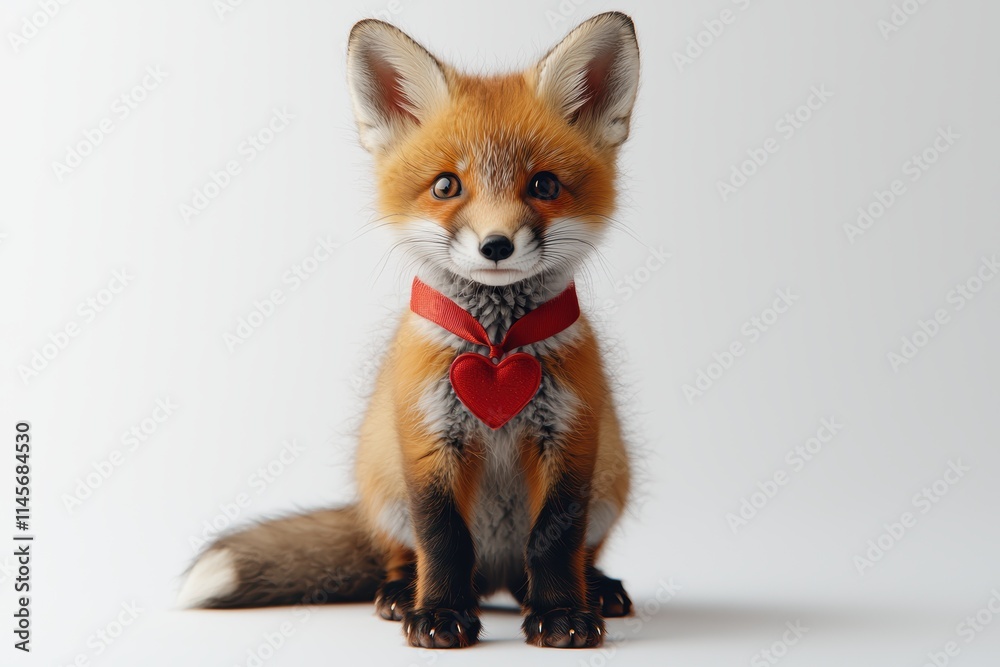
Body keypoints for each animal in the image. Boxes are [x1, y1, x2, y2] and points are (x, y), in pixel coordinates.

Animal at [179, 11, 641, 649]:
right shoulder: (427, 438)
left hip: (610, 484)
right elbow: (442, 540)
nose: (496, 245)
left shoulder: (570, 438)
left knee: (560, 558)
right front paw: (440, 614)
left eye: (544, 186)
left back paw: (593, 588)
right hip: (385, 483)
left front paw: (563, 614)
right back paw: (402, 593)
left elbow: (553, 542)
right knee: (406, 555)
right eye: (447, 186)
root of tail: (496, 578)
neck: (495, 347)